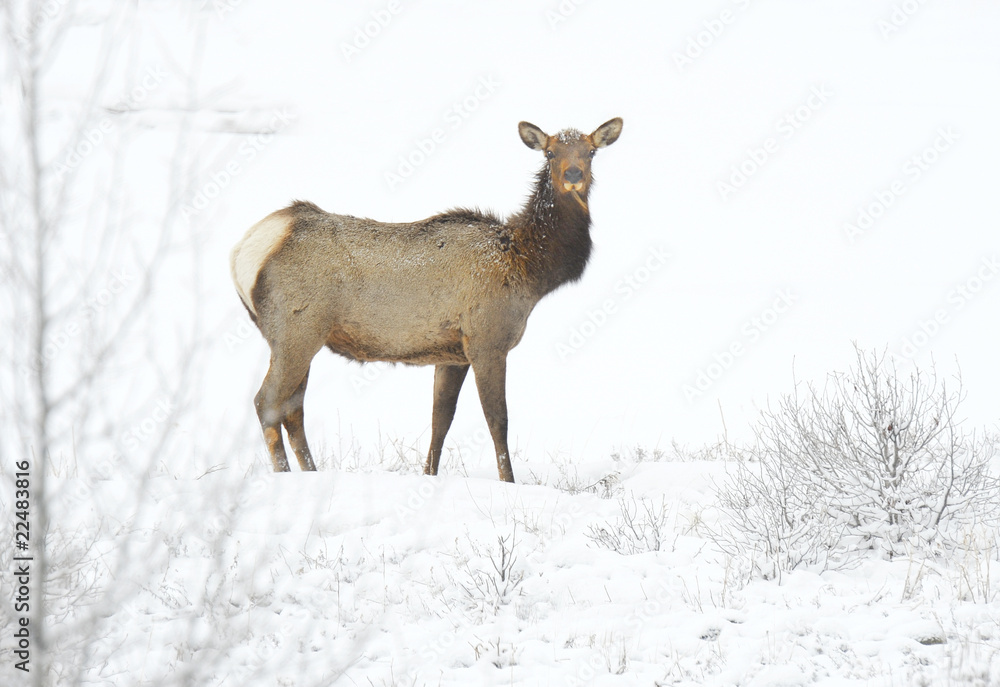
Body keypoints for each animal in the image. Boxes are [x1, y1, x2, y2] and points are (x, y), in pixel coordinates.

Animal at [230, 117, 622, 482]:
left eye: (591, 151)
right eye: (550, 152)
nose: (573, 175)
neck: (529, 269)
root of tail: (243, 251)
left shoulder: (452, 354)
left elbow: (440, 421)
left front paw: (429, 476)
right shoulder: (487, 340)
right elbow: (498, 419)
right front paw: (509, 482)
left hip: (301, 336)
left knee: (293, 408)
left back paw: (311, 473)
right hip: (296, 329)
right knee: (267, 402)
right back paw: (285, 475)